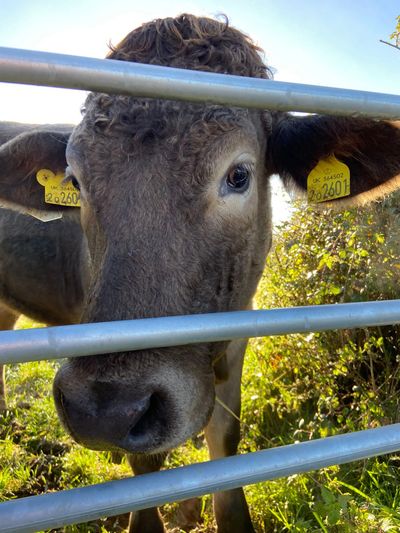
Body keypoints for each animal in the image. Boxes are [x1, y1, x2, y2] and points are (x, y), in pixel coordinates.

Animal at [0, 13, 400, 532]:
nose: (103, 411)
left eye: (239, 175)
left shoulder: (238, 335)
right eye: (76, 181)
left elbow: (224, 438)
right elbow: (147, 463)